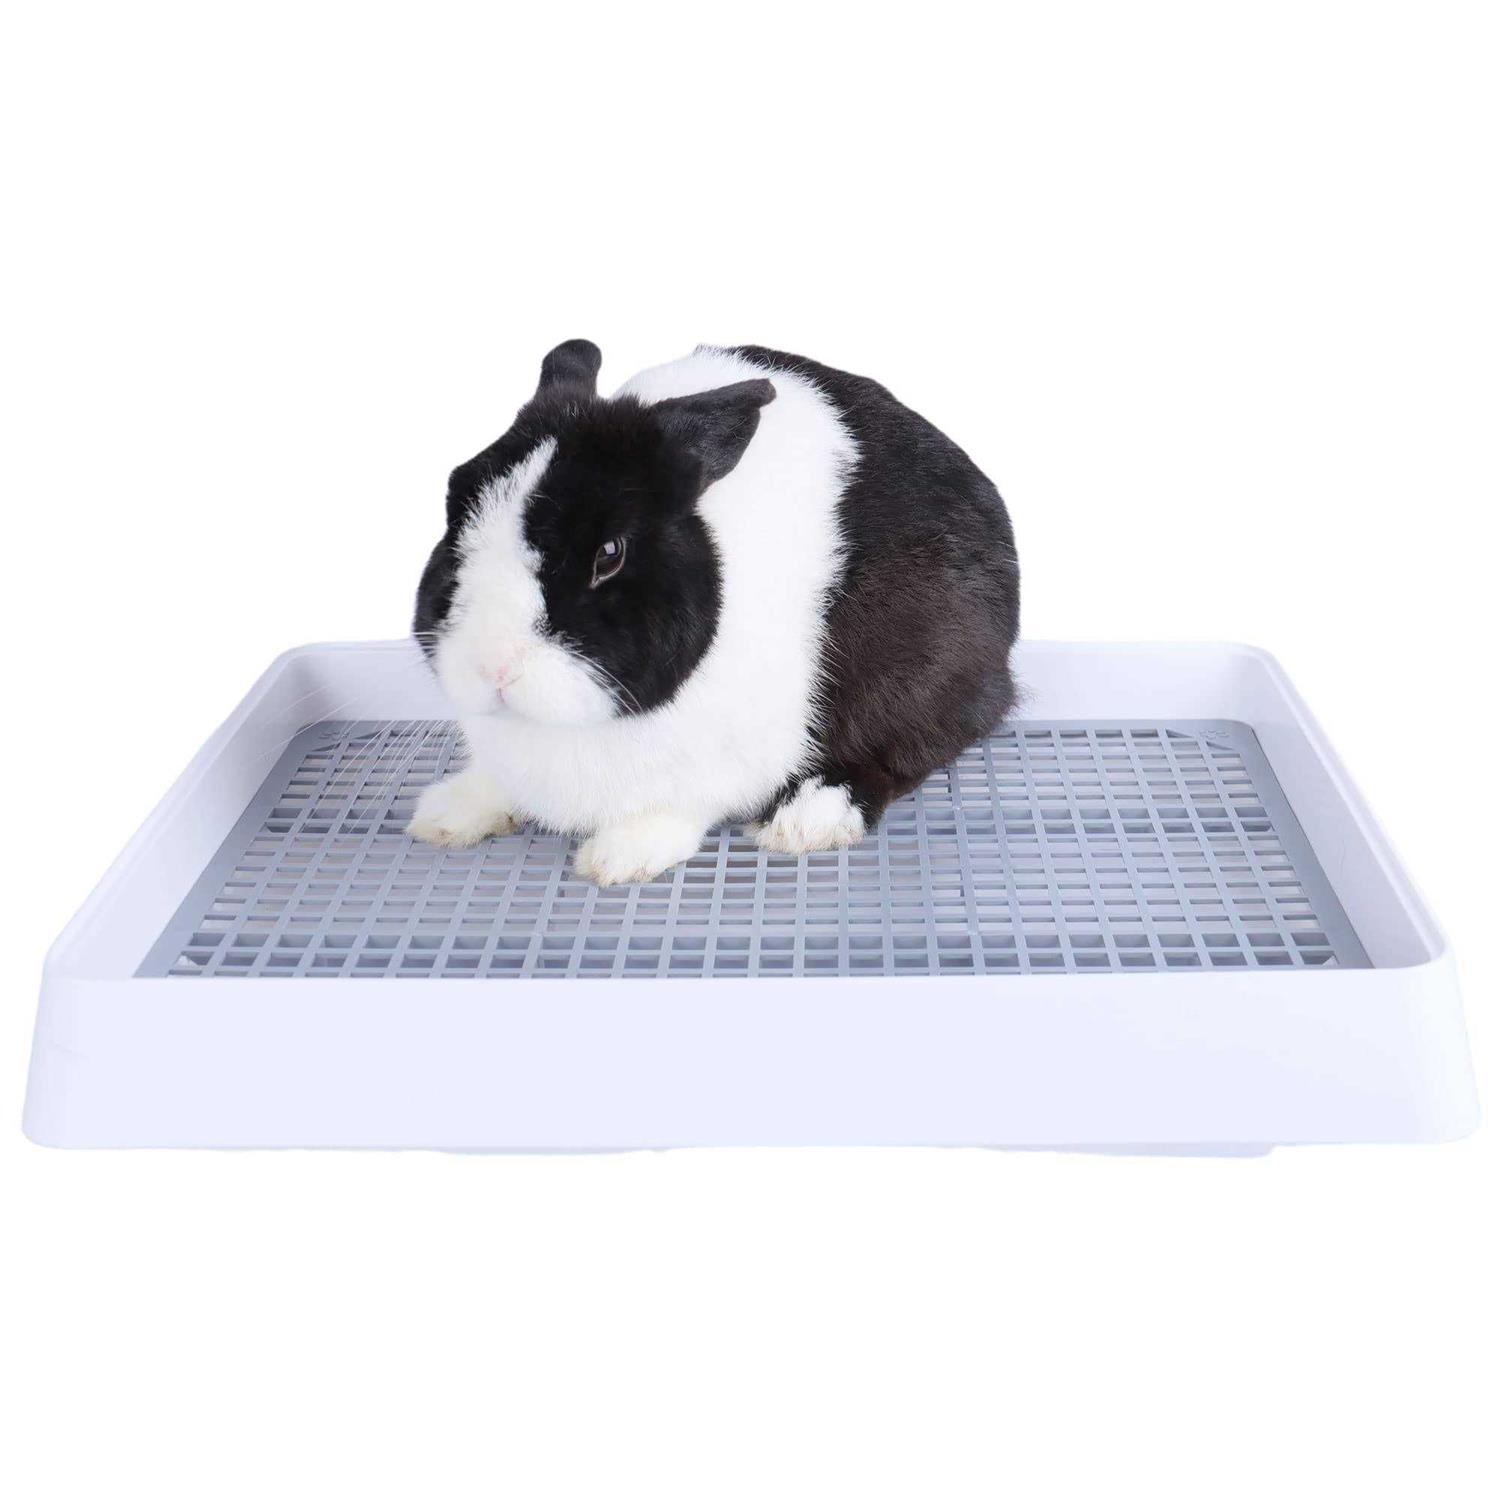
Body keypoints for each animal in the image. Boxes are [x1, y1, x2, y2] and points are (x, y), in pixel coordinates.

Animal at [409, 340, 1020, 885]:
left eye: (610, 553)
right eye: (456, 508)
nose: (493, 666)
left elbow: (677, 806)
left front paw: (620, 858)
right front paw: (445, 816)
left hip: (923, 668)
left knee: (913, 744)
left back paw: (806, 820)